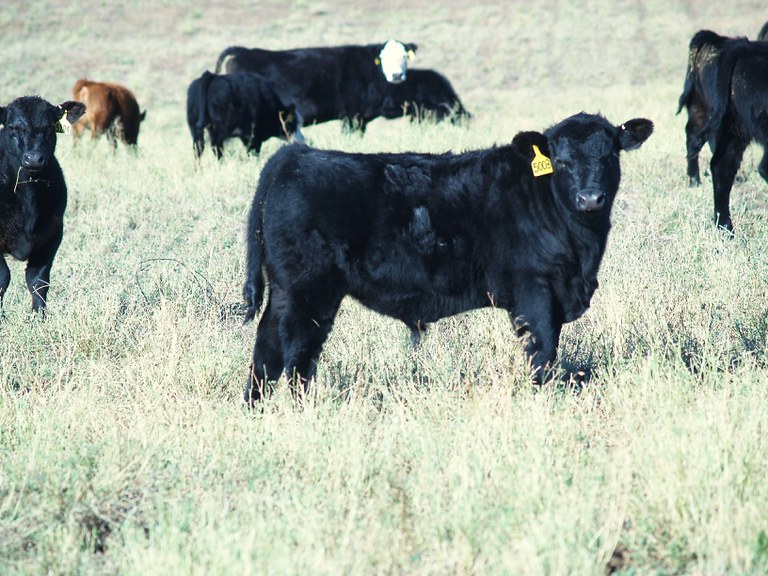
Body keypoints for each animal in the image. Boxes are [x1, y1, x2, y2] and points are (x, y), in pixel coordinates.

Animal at [0, 94, 85, 312]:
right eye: (13, 127)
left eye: (48, 126)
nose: (33, 159)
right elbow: (3, 278)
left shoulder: (52, 234)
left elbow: (38, 280)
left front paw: (39, 316)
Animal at [243, 111, 652, 400]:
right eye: (562, 161)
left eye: (610, 154)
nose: (590, 199)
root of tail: (297, 155)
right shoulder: (534, 289)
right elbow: (543, 349)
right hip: (309, 291)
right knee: (296, 351)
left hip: (286, 291)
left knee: (266, 349)